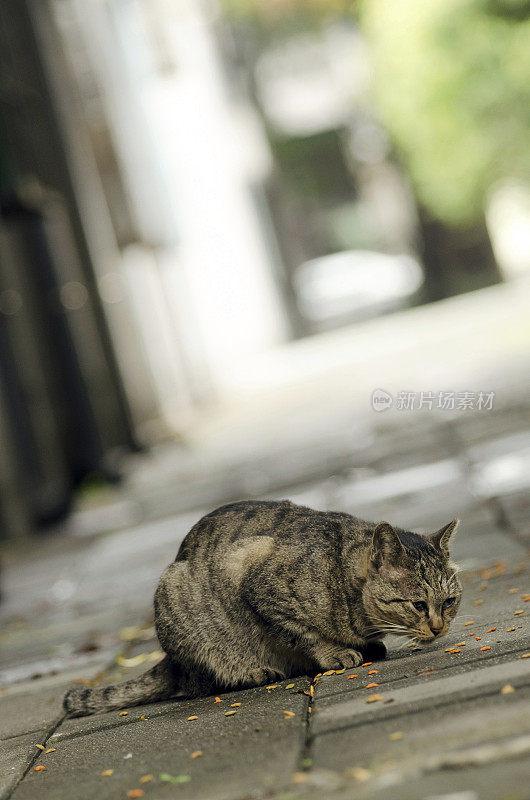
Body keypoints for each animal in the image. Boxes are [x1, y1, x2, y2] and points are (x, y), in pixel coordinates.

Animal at [62, 500, 458, 720]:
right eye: (419, 605)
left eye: (449, 602)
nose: (439, 628)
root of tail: (170, 660)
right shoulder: (257, 581)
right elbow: (303, 632)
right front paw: (334, 652)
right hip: (175, 598)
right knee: (199, 681)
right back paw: (252, 672)